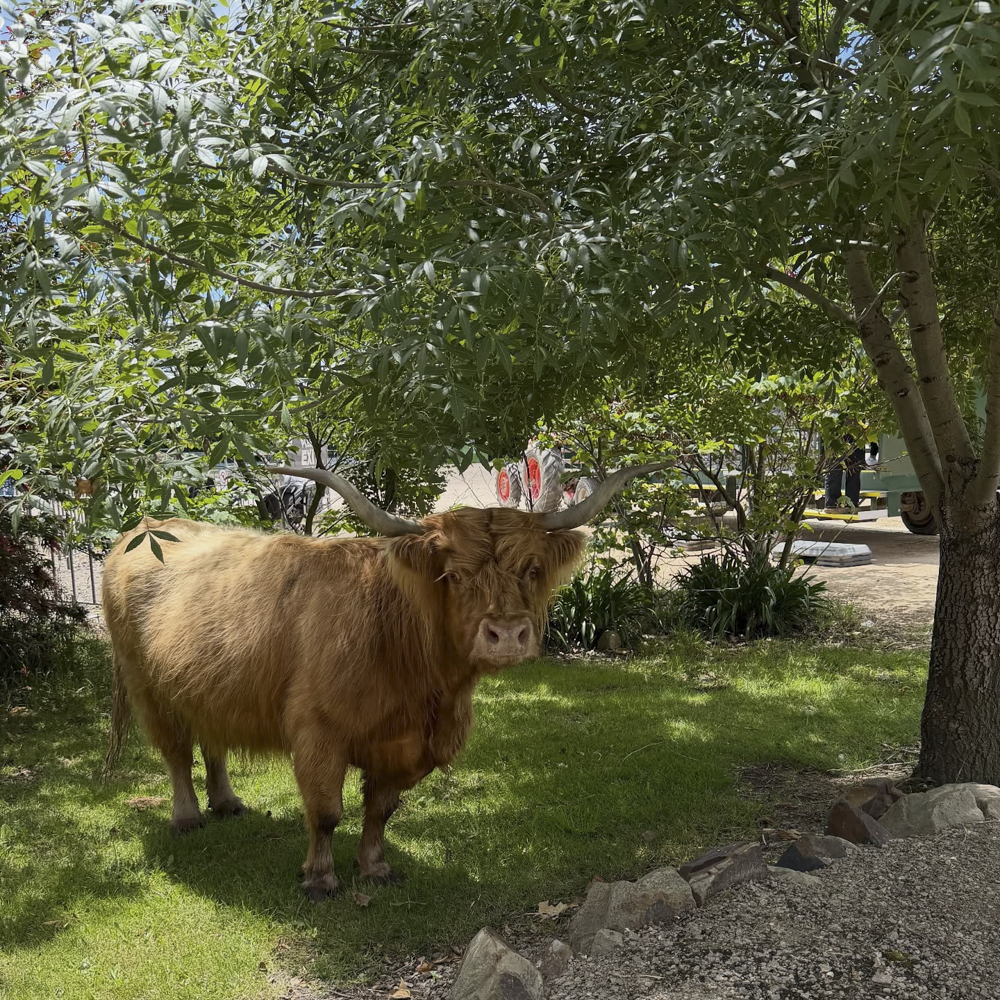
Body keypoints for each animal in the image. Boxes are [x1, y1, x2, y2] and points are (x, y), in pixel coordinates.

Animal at [101, 462, 665, 899]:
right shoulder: (318, 732)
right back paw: (187, 817)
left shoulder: (405, 745)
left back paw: (227, 803)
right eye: (453, 576)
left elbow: (382, 809)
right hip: (146, 683)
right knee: (176, 751)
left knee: (212, 739)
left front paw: (374, 868)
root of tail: (141, 529)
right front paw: (320, 879)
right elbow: (326, 811)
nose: (507, 634)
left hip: (208, 683)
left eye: (530, 569)